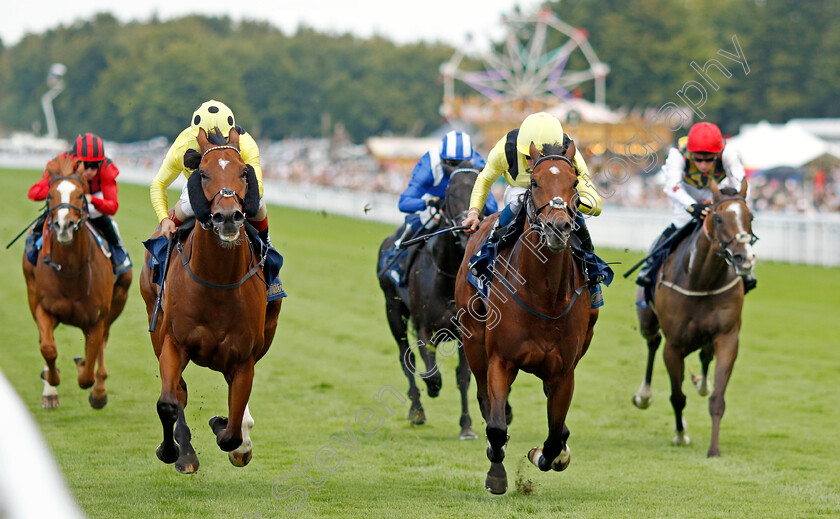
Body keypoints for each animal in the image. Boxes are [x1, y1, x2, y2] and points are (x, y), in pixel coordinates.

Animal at [21, 154, 131, 410]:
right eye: (50, 195)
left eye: (81, 195)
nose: (64, 225)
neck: (71, 273)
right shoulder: (43, 307)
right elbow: (48, 348)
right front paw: (51, 384)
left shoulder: (97, 319)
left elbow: (87, 372)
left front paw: (94, 386)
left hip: (119, 298)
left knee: (102, 344)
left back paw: (99, 389)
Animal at [139, 127, 280, 476]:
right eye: (202, 173)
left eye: (244, 172)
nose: (227, 216)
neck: (217, 282)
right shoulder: (173, 343)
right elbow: (169, 401)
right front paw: (172, 451)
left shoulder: (244, 358)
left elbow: (231, 432)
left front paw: (228, 429)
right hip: (154, 322)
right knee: (178, 391)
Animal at [456, 140, 600, 494]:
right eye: (534, 182)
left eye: (574, 183)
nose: (558, 227)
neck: (544, 297)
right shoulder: (500, 360)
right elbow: (495, 426)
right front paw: (496, 472)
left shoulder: (564, 372)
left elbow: (554, 436)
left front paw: (546, 454)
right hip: (473, 342)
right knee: (484, 399)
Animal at [632, 177, 756, 458]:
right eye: (718, 218)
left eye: (751, 216)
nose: (744, 259)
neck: (702, 280)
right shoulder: (674, 346)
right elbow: (677, 397)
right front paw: (681, 435)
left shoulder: (728, 337)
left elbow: (717, 399)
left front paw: (714, 449)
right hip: (647, 321)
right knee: (652, 342)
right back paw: (644, 396)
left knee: (704, 355)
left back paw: (703, 382)